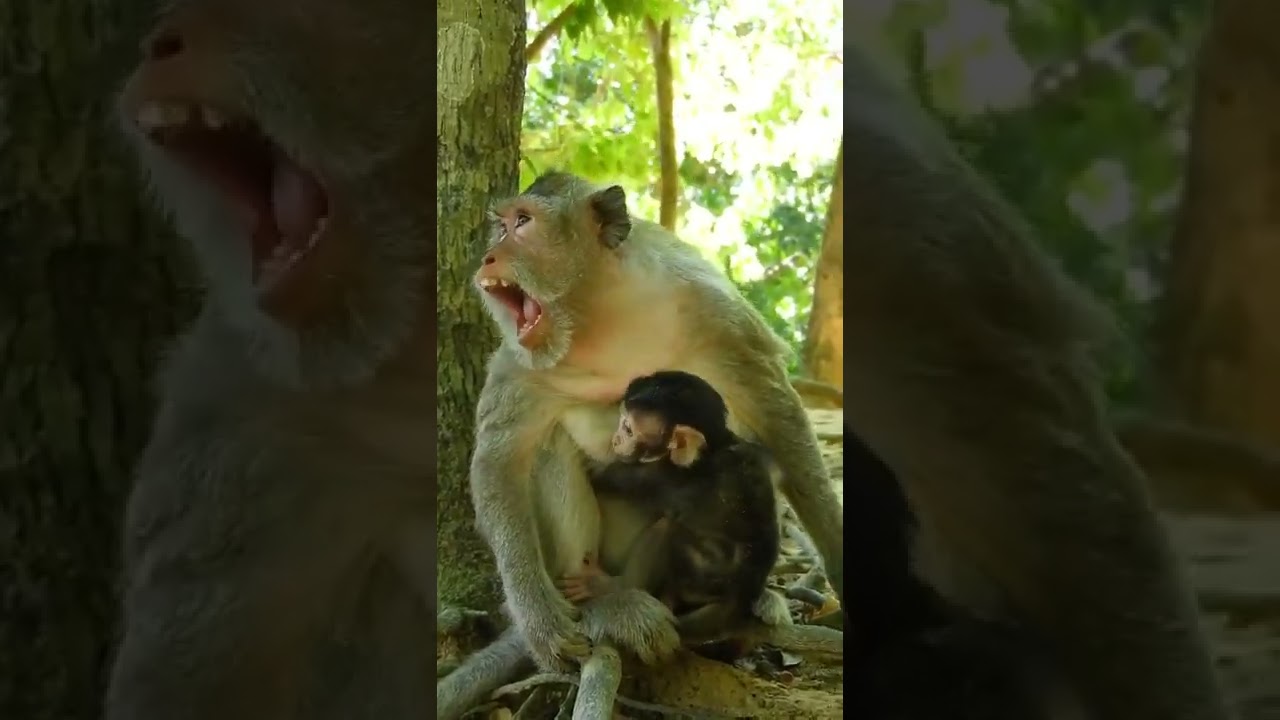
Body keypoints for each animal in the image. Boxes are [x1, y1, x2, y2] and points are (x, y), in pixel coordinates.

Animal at [555, 370, 786, 653]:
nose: (616, 439)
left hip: (698, 574)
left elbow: (604, 474)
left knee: (668, 528)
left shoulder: (662, 476)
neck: (711, 449)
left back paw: (613, 585)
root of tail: (739, 597)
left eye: (628, 428)